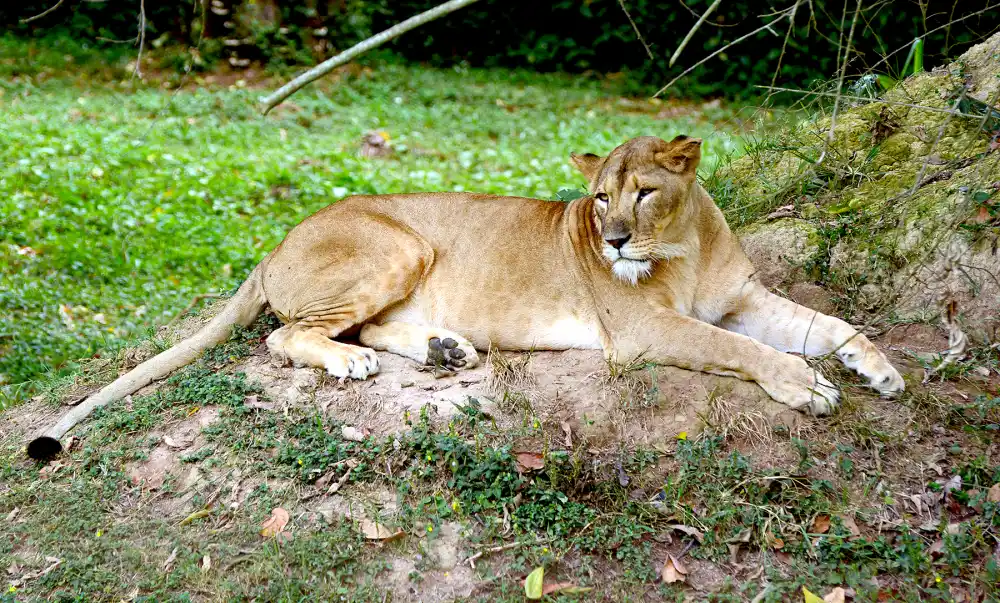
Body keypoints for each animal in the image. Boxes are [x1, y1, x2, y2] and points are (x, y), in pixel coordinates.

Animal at [27, 135, 904, 459]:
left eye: (645, 192)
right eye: (599, 199)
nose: (616, 240)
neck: (682, 246)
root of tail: (275, 240)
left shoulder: (746, 297)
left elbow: (826, 322)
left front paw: (881, 369)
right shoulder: (642, 331)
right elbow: (740, 347)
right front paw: (806, 385)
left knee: (364, 328)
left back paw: (442, 347)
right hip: (400, 243)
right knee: (287, 336)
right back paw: (358, 366)